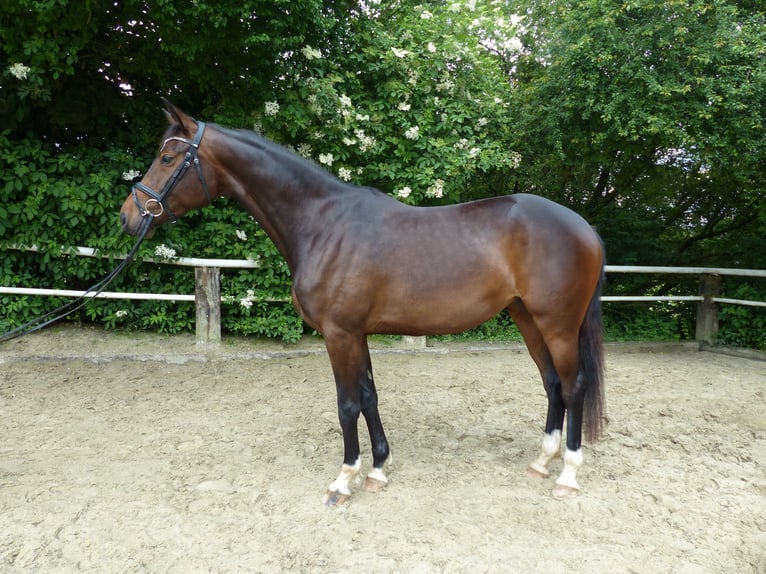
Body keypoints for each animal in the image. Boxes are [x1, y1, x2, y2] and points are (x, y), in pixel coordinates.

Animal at [118, 102, 608, 504]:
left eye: (167, 158)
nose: (129, 216)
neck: (323, 224)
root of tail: (584, 227)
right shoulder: (358, 333)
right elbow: (370, 397)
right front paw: (377, 469)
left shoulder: (339, 334)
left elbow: (347, 405)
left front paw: (343, 479)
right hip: (527, 318)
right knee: (552, 383)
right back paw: (542, 462)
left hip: (558, 324)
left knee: (573, 385)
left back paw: (568, 475)